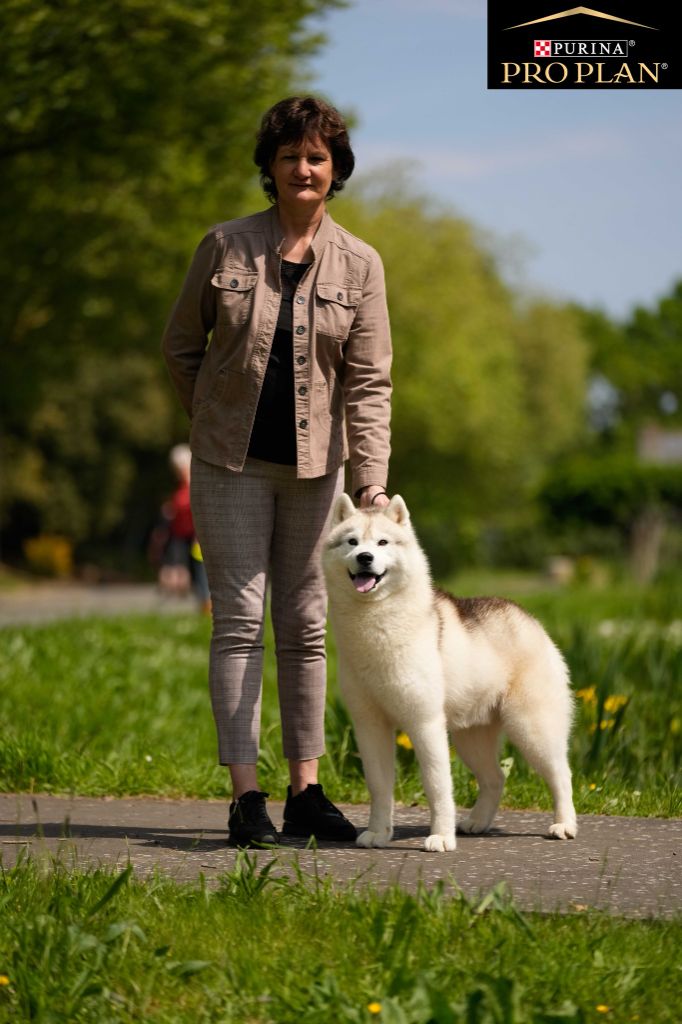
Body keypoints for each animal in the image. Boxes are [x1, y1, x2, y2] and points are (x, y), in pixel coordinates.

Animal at [321, 495, 577, 856]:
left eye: (382, 542)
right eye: (352, 542)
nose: (365, 558)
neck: (376, 625)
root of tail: (527, 616)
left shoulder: (425, 723)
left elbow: (437, 785)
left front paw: (440, 837)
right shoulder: (369, 726)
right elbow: (379, 786)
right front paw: (378, 832)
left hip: (532, 729)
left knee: (561, 775)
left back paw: (564, 824)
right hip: (471, 737)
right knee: (495, 778)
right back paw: (478, 822)